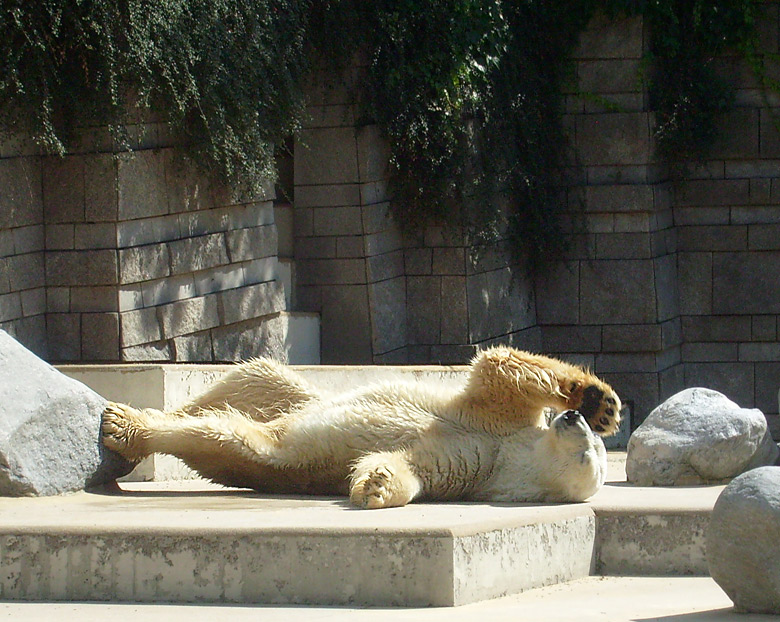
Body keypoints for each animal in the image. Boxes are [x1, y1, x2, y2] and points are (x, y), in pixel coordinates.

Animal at [100, 348, 620, 510]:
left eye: (588, 455)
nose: (575, 421)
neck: (507, 457)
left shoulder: (470, 469)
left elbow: (411, 466)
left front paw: (376, 485)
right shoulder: (495, 424)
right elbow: (502, 371)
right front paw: (597, 401)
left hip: (265, 453)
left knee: (226, 434)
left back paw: (126, 428)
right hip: (296, 393)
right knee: (252, 378)